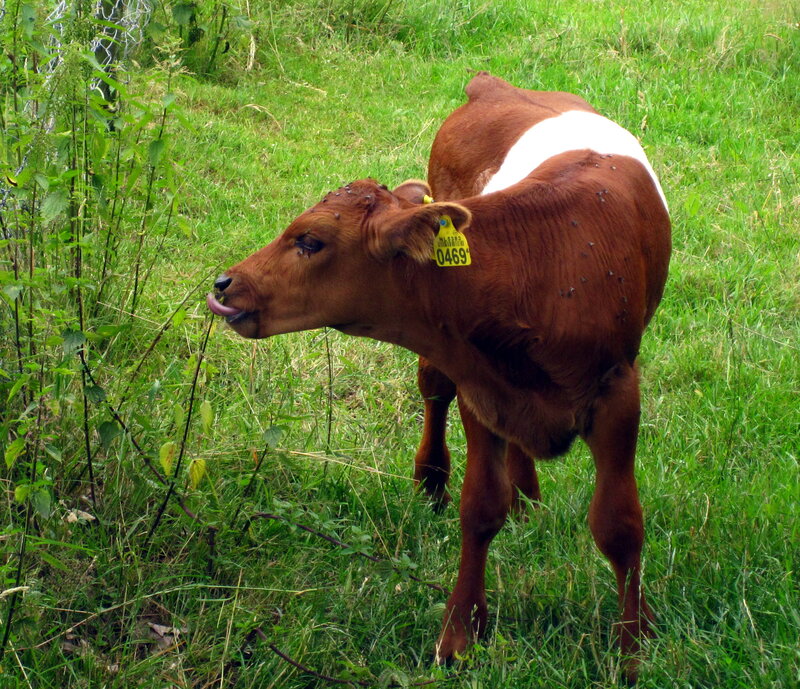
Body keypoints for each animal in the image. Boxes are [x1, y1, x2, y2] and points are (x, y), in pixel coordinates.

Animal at [207, 72, 670, 683]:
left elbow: (619, 525)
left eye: (309, 240)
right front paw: (460, 636)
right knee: (433, 390)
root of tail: (493, 85)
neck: (543, 267)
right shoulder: (478, 382)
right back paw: (434, 480)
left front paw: (634, 648)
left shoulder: (617, 393)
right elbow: (480, 508)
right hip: (450, 363)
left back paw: (528, 500)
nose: (224, 283)